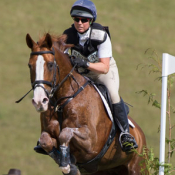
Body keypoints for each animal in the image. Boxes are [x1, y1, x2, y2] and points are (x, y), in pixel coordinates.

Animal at [25, 33, 147, 175]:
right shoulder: (48, 133)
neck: (62, 102)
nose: (39, 101)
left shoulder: (90, 143)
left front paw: (67, 164)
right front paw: (67, 163)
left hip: (138, 167)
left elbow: (65, 133)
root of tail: (140, 133)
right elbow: (45, 141)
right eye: (30, 65)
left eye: (50, 65)